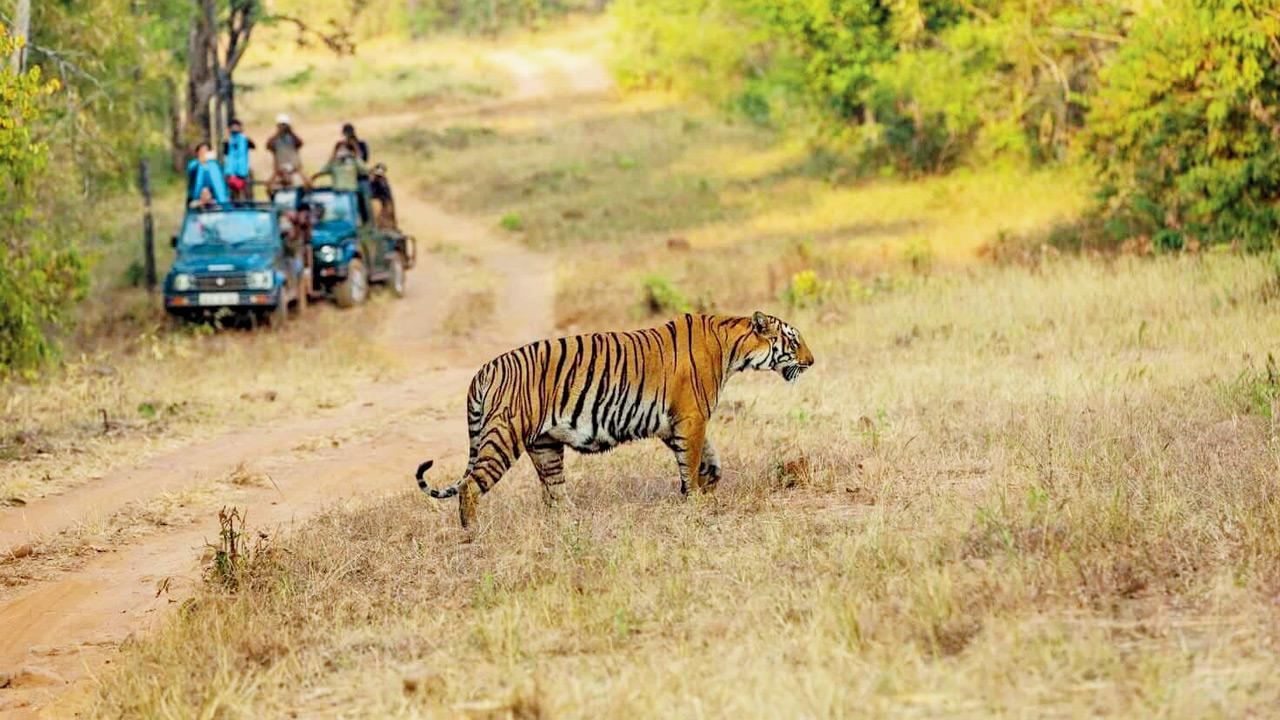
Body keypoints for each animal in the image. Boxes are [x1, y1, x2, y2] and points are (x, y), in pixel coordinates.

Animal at [415, 311, 815, 528]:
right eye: (794, 341)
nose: (811, 361)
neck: (733, 348)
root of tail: (485, 369)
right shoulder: (691, 418)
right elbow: (692, 460)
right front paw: (696, 500)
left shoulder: (674, 423)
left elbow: (709, 458)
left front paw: (709, 483)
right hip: (504, 436)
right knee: (470, 486)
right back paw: (472, 533)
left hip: (545, 446)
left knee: (554, 492)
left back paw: (572, 521)